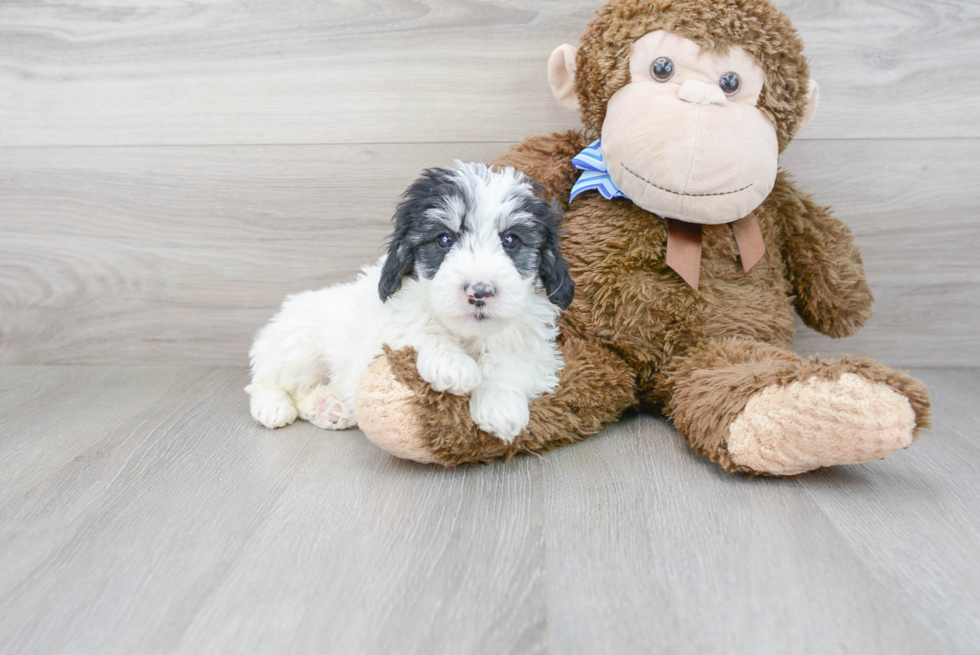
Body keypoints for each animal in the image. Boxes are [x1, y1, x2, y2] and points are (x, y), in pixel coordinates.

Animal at [244, 161, 576, 444]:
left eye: (511, 240)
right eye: (444, 240)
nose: (479, 291)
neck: (467, 334)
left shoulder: (537, 349)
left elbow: (510, 360)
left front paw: (500, 406)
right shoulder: (391, 323)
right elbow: (418, 328)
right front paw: (453, 365)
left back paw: (329, 407)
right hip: (297, 342)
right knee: (267, 380)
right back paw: (273, 407)